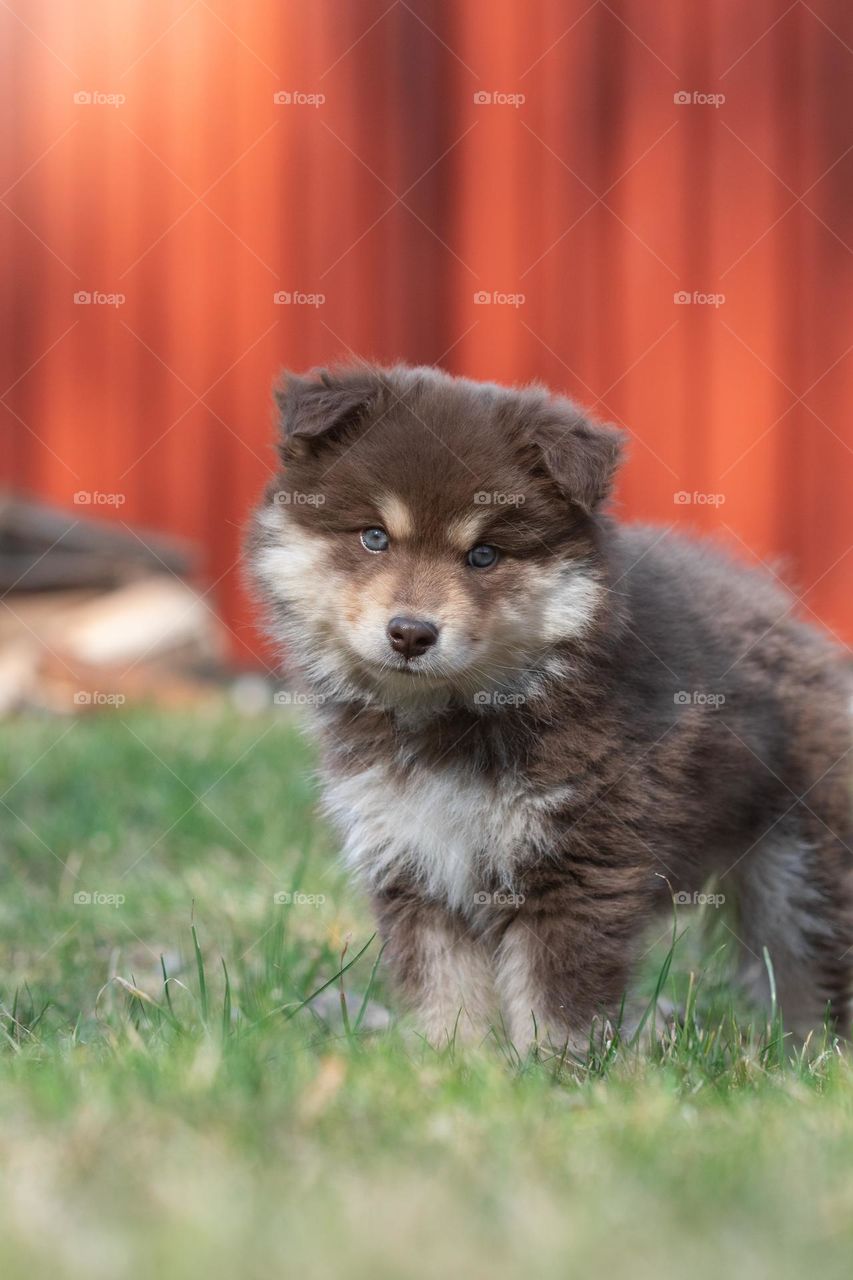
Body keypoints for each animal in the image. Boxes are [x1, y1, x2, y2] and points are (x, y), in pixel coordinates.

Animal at [247, 360, 850, 1049]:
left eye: (484, 555)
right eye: (374, 537)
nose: (411, 633)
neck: (458, 718)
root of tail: (789, 618)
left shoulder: (576, 862)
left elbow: (555, 999)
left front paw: (550, 1069)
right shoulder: (413, 858)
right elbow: (445, 989)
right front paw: (451, 1061)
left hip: (804, 867)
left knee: (811, 971)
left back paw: (818, 1058)